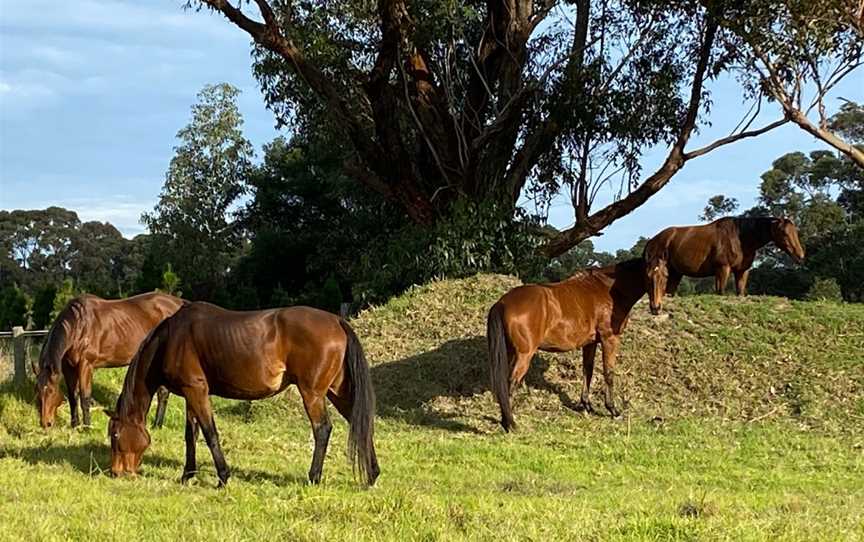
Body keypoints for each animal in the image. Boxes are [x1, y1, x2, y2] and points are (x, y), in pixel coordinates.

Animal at [34, 294, 183, 430]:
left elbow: (85, 396)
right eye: (38, 390)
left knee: (163, 392)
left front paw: (87, 427)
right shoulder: (68, 367)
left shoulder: (86, 365)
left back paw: (157, 425)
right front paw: (75, 425)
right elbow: (73, 396)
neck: (79, 326)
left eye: (51, 391)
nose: (45, 423)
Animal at [104, 302, 378, 488]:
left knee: (322, 429)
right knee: (361, 423)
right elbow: (191, 435)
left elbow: (210, 433)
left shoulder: (196, 391)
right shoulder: (191, 393)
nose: (116, 472)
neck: (172, 338)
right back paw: (372, 475)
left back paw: (314, 477)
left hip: (312, 393)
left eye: (115, 435)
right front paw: (187, 475)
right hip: (337, 392)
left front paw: (223, 478)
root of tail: (338, 321)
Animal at [640, 215, 804, 314]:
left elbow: (740, 292)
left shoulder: (742, 271)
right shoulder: (723, 269)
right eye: (784, 233)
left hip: (675, 274)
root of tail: (652, 241)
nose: (800, 255)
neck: (740, 238)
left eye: (795, 232)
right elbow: (720, 291)